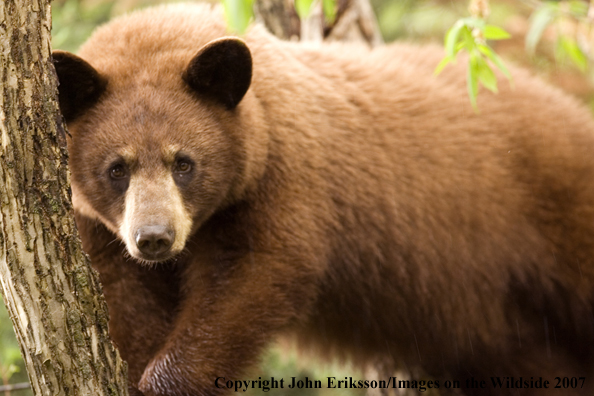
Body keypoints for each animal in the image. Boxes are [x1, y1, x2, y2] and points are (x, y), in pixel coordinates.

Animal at [51, 3, 592, 396]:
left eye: (183, 162)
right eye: (116, 168)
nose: (154, 238)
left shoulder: (286, 178)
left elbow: (253, 278)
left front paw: (165, 383)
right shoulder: (99, 232)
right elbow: (126, 303)